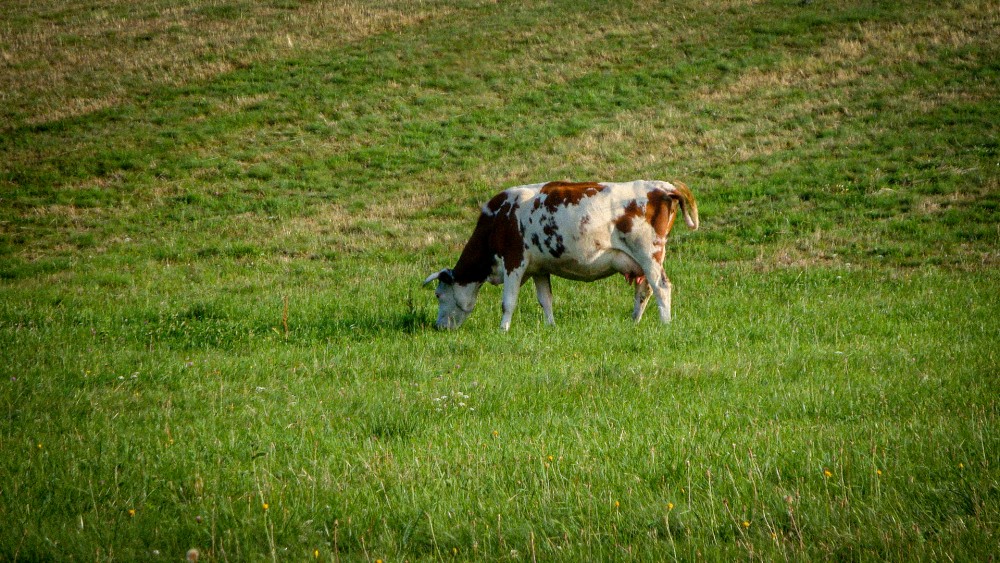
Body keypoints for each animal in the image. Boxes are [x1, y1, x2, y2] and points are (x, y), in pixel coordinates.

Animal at [426, 180, 700, 330]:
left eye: (438, 295)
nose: (439, 327)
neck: (498, 219)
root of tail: (663, 187)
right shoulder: (539, 268)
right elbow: (545, 299)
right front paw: (551, 326)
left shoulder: (514, 260)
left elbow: (508, 301)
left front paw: (503, 329)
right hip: (642, 261)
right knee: (644, 291)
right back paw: (635, 322)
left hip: (648, 252)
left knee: (662, 286)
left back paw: (665, 323)